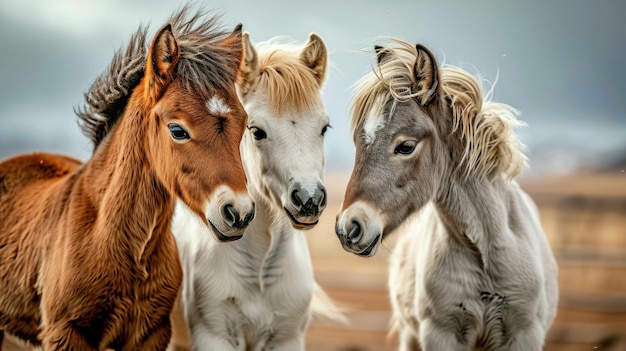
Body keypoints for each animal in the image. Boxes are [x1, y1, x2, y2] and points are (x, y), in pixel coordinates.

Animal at [169, 31, 342, 350]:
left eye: (324, 127)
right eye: (256, 131)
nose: (309, 198)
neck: (260, 272)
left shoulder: (286, 339)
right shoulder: (213, 337)